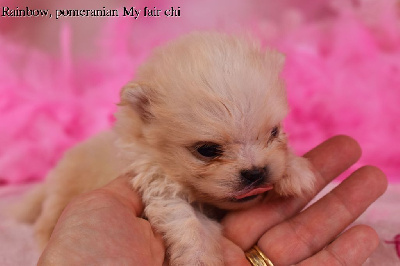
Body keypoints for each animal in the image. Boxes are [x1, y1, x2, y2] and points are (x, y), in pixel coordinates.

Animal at [14, 32, 316, 264]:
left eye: (274, 132)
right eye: (207, 150)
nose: (255, 173)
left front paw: (296, 172)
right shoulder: (159, 186)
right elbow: (188, 224)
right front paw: (199, 258)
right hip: (62, 196)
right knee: (45, 222)